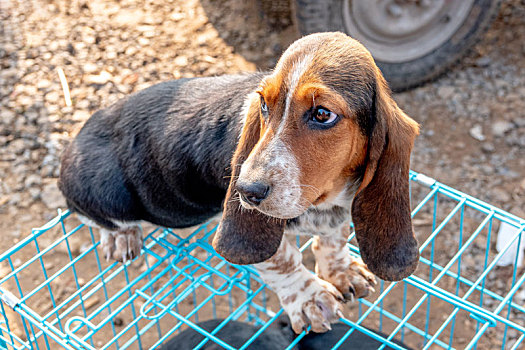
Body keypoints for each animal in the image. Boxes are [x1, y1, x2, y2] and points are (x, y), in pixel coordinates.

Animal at [58, 32, 418, 334]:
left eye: (322, 114)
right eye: (264, 105)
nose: (246, 191)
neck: (323, 200)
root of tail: (75, 138)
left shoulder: (338, 211)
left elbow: (334, 238)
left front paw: (341, 271)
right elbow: (282, 260)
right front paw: (310, 299)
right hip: (104, 192)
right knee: (90, 215)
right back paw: (121, 238)